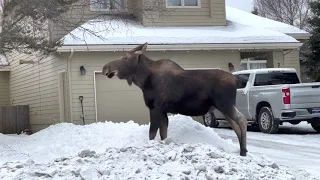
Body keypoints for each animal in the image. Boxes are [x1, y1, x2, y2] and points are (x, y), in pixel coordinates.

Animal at [102, 42, 248, 156]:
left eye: (125, 57)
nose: (105, 68)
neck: (143, 81)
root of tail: (236, 80)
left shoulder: (155, 107)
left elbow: (152, 133)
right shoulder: (163, 111)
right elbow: (163, 134)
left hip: (225, 104)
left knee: (242, 118)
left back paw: (243, 151)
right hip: (223, 107)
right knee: (235, 124)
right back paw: (242, 150)